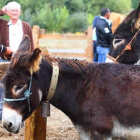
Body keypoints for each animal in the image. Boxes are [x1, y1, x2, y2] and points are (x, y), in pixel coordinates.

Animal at [2, 35, 140, 139]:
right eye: (2, 84)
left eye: (19, 86)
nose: (6, 124)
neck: (81, 88)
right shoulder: (85, 134)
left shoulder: (100, 134)